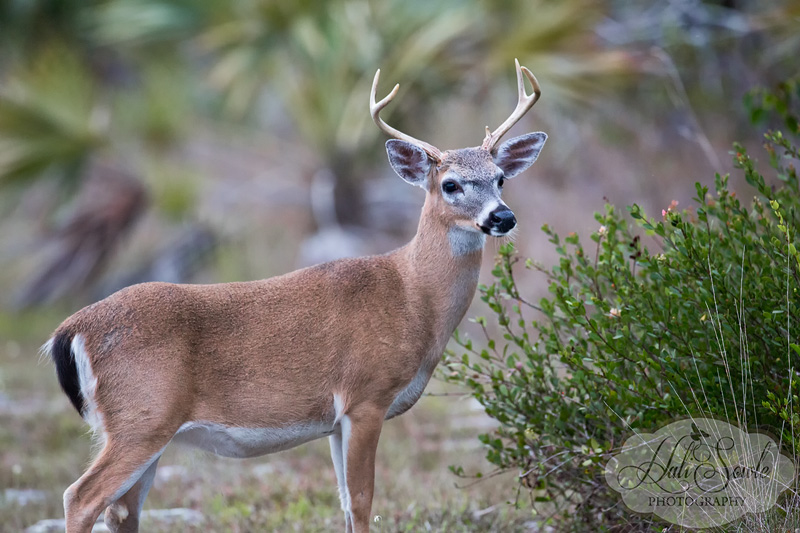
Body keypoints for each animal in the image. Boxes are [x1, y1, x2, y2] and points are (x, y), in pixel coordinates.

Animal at [42, 59, 546, 533]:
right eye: (450, 184)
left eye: (500, 177)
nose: (502, 217)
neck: (411, 296)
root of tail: (70, 330)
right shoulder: (366, 395)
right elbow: (362, 500)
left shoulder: (335, 421)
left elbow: (344, 502)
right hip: (142, 417)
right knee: (80, 497)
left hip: (141, 428)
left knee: (122, 512)